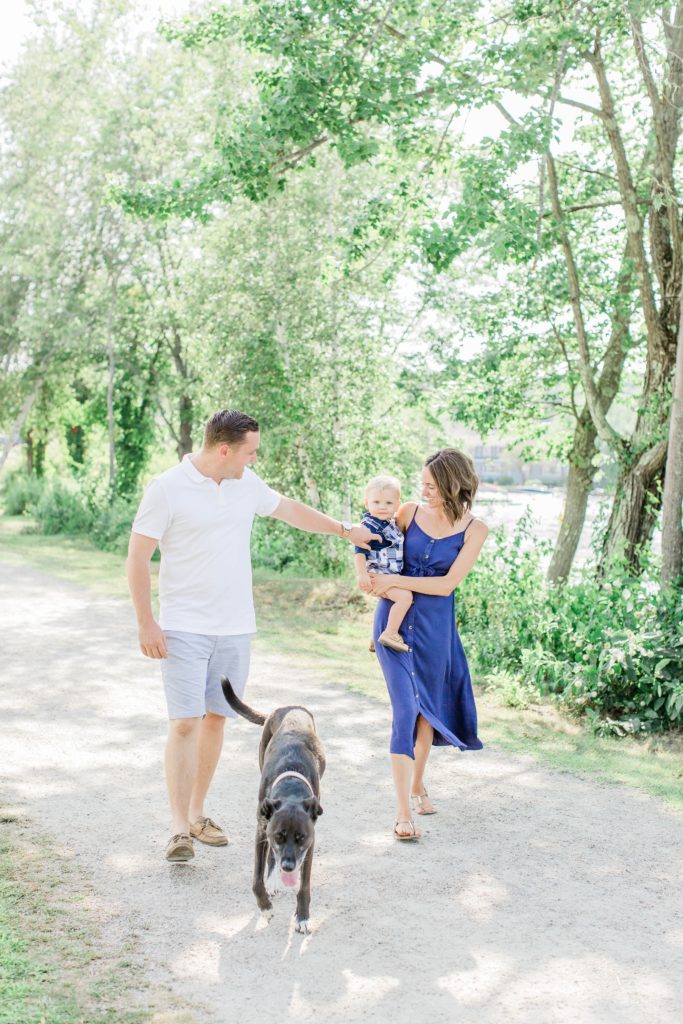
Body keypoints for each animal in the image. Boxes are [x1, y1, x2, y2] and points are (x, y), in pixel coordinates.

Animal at [220, 675, 325, 933]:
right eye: (279, 836)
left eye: (301, 838)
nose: (288, 866)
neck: (291, 786)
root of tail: (286, 707)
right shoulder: (262, 831)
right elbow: (256, 880)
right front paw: (265, 907)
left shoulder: (310, 842)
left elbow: (304, 886)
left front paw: (303, 916)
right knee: (270, 858)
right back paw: (273, 879)